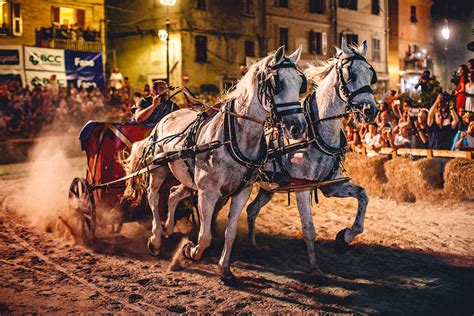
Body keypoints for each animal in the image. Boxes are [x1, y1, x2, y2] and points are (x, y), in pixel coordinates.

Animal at [122, 45, 308, 278]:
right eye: (277, 84)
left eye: (300, 83)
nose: (298, 127)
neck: (234, 137)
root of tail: (163, 119)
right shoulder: (208, 192)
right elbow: (205, 236)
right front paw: (191, 251)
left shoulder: (242, 191)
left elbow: (230, 232)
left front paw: (224, 268)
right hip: (158, 169)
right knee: (153, 198)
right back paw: (155, 239)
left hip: (187, 178)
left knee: (173, 194)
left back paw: (168, 228)